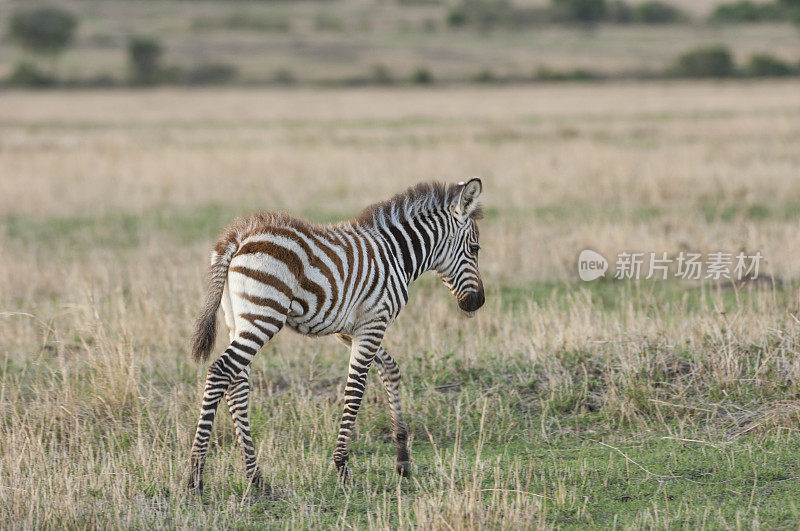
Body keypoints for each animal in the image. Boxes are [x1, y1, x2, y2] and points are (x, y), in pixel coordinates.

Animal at [189, 179, 488, 494]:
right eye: (475, 248)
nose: (478, 302)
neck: (396, 254)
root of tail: (238, 234)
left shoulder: (349, 330)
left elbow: (390, 370)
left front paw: (402, 458)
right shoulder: (373, 322)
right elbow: (356, 389)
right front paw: (342, 466)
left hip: (239, 320)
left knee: (237, 386)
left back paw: (256, 477)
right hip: (264, 316)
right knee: (221, 371)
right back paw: (195, 476)